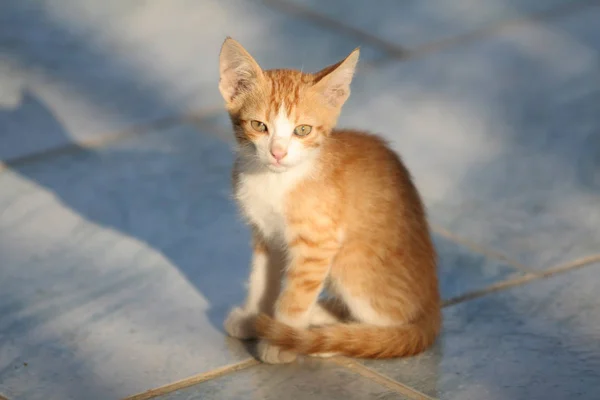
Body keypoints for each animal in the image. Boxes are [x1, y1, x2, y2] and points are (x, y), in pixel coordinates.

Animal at [218, 38, 438, 366]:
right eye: (259, 126)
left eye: (302, 130)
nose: (278, 153)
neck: (275, 180)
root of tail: (433, 308)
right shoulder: (265, 234)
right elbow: (260, 278)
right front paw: (253, 315)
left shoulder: (318, 243)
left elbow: (296, 295)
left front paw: (281, 338)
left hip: (350, 264)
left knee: (387, 323)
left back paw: (329, 337)